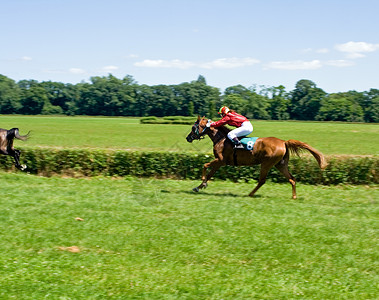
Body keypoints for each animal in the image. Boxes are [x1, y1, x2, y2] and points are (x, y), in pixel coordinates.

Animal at [186, 117, 328, 199]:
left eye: (193, 127)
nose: (188, 138)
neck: (221, 139)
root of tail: (283, 142)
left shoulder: (221, 160)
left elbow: (205, 166)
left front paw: (202, 181)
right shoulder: (220, 163)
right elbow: (210, 174)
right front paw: (199, 186)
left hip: (266, 164)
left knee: (262, 181)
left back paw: (250, 194)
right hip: (280, 164)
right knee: (292, 179)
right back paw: (293, 197)